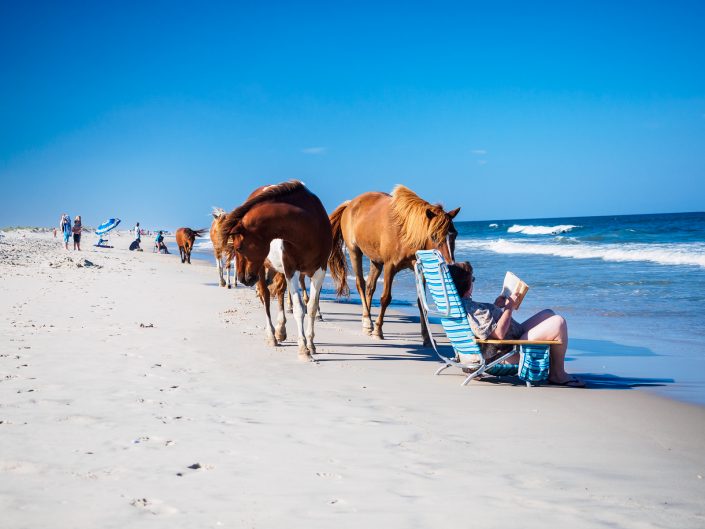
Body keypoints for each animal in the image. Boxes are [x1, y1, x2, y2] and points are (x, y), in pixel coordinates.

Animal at [219, 180, 332, 359]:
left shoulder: (320, 270)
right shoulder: (291, 270)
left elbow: (312, 307)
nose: (243, 279)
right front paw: (303, 349)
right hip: (261, 269)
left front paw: (311, 344)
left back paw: (280, 331)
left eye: (239, 247)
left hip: (275, 270)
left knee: (279, 292)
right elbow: (299, 308)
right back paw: (272, 335)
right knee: (265, 296)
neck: (308, 229)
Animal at [328, 185, 460, 345]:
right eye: (434, 236)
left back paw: (367, 321)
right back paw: (367, 322)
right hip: (355, 252)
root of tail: (350, 204)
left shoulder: (419, 268)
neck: (406, 232)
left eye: (455, 234)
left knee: (370, 287)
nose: (450, 264)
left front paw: (427, 337)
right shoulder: (389, 266)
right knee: (361, 284)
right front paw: (378, 330)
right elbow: (386, 298)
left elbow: (421, 302)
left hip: (376, 261)